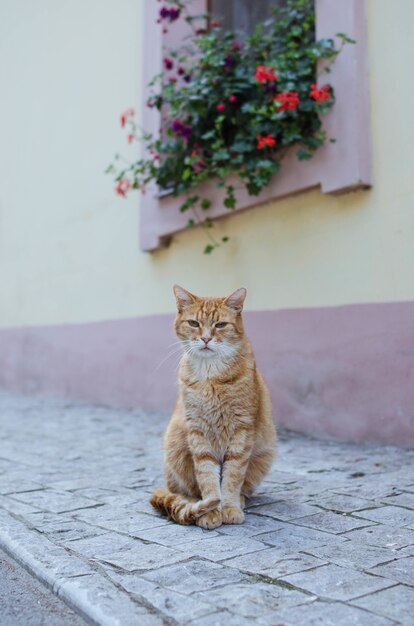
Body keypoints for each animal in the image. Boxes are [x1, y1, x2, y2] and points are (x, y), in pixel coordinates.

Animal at [150, 286, 276, 528]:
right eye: (193, 323)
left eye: (220, 325)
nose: (206, 338)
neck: (211, 376)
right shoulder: (198, 431)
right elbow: (207, 476)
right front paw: (210, 511)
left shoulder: (241, 430)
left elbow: (232, 477)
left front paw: (229, 507)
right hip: (175, 449)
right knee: (183, 492)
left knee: (244, 487)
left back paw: (240, 501)